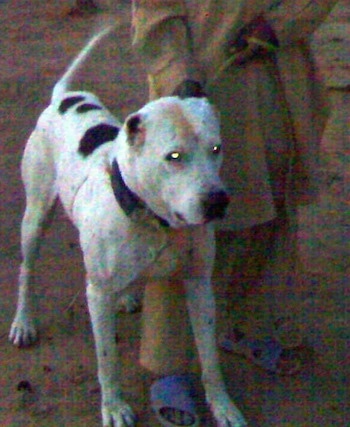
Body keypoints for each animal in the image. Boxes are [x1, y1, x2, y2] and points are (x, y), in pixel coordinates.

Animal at [8, 27, 246, 427]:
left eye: (216, 149)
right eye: (174, 157)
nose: (217, 202)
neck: (155, 221)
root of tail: (63, 98)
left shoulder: (199, 284)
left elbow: (210, 357)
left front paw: (223, 405)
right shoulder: (98, 295)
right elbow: (108, 362)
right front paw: (114, 407)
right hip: (36, 216)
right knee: (26, 269)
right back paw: (24, 322)